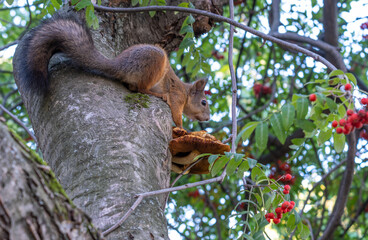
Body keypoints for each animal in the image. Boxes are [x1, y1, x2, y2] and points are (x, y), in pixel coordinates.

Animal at [14, 11, 210, 127]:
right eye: (204, 102)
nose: (208, 118)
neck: (186, 92)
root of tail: (119, 65)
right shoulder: (177, 96)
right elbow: (176, 114)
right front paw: (183, 129)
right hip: (154, 62)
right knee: (140, 88)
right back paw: (156, 94)